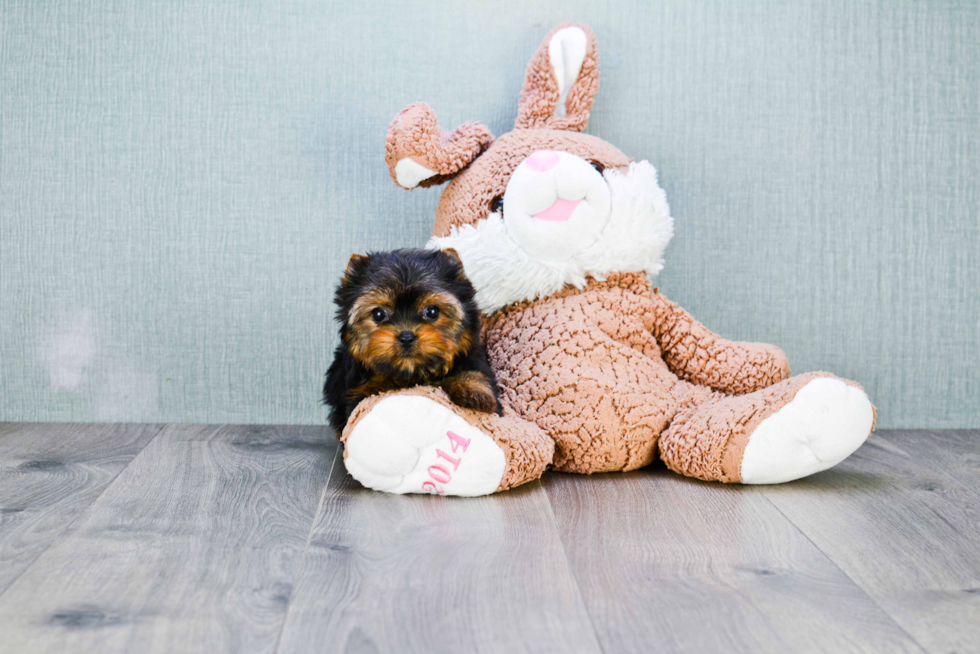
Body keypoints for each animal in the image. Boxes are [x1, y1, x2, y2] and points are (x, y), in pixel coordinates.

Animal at [324, 249, 502, 438]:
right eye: (378, 314)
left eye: (432, 311)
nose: (406, 337)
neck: (413, 371)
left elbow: (473, 372)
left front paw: (475, 391)